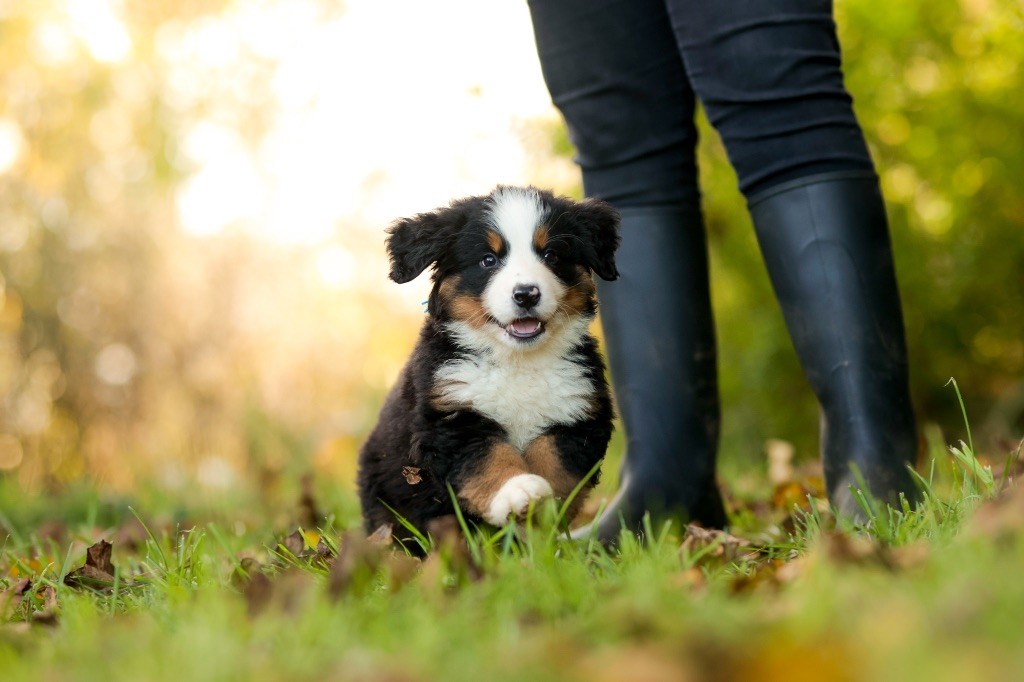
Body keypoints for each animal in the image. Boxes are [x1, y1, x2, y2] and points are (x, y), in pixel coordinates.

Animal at [356, 183, 618, 544]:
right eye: (488, 260)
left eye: (551, 255)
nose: (526, 294)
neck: (517, 362)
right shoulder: (452, 415)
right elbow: (488, 458)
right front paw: (519, 491)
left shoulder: (577, 412)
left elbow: (555, 462)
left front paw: (545, 511)